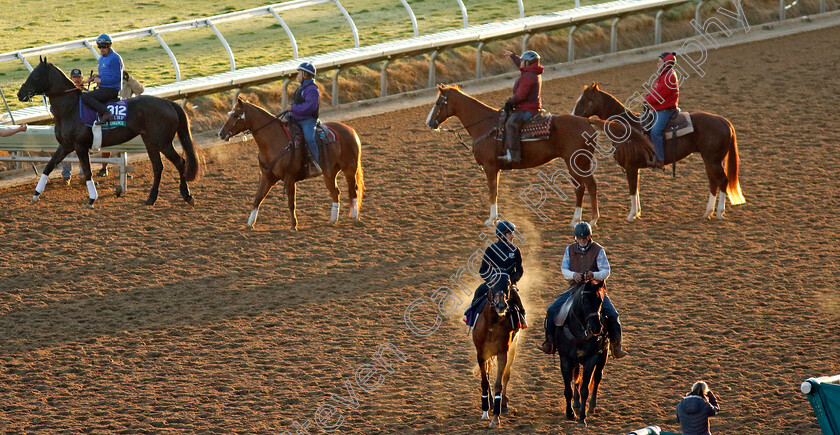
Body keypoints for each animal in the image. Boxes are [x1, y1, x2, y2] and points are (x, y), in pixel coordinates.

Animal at [18, 57, 200, 208]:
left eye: (35, 75)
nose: (20, 94)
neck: (70, 108)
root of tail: (168, 103)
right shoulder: (65, 146)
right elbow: (48, 167)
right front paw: (35, 195)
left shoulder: (80, 147)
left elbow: (88, 172)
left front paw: (92, 199)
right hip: (150, 142)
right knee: (158, 167)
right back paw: (151, 198)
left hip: (162, 142)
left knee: (180, 162)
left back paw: (187, 195)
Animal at [218, 96, 362, 230]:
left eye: (236, 115)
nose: (221, 133)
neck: (274, 141)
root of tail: (351, 130)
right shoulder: (267, 177)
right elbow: (258, 198)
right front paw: (249, 224)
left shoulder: (290, 178)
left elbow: (291, 202)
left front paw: (293, 225)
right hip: (329, 173)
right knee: (335, 192)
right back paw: (333, 220)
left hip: (350, 169)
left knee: (352, 190)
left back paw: (355, 217)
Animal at [472, 274, 520, 430]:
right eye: (492, 283)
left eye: (508, 284)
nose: (501, 305)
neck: (491, 325)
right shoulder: (481, 354)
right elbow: (484, 381)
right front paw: (485, 410)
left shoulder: (503, 353)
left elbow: (499, 382)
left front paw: (495, 417)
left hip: (513, 348)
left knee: (506, 375)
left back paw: (503, 403)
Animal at [556, 282, 612, 428]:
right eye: (586, 300)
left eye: (600, 300)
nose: (597, 327)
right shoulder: (565, 360)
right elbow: (569, 389)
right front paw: (570, 413)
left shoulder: (590, 360)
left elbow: (585, 389)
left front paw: (582, 418)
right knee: (576, 378)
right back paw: (576, 403)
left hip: (603, 355)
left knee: (597, 377)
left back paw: (591, 406)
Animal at [572, 82, 748, 221]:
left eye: (584, 100)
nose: (573, 116)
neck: (627, 127)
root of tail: (723, 121)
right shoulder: (635, 167)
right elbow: (636, 189)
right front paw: (637, 213)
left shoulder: (630, 167)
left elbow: (632, 189)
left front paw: (631, 215)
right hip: (710, 160)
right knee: (713, 182)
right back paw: (707, 212)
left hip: (713, 160)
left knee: (723, 181)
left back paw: (719, 212)